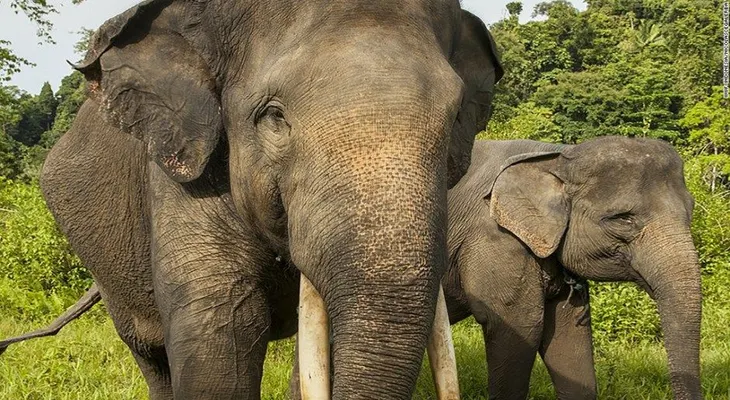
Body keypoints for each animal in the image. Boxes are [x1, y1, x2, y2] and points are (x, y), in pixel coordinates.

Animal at [443, 136, 702, 400]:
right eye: (623, 219)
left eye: (691, 211)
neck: (558, 157)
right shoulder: (496, 239)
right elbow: (519, 326)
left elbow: (568, 334)